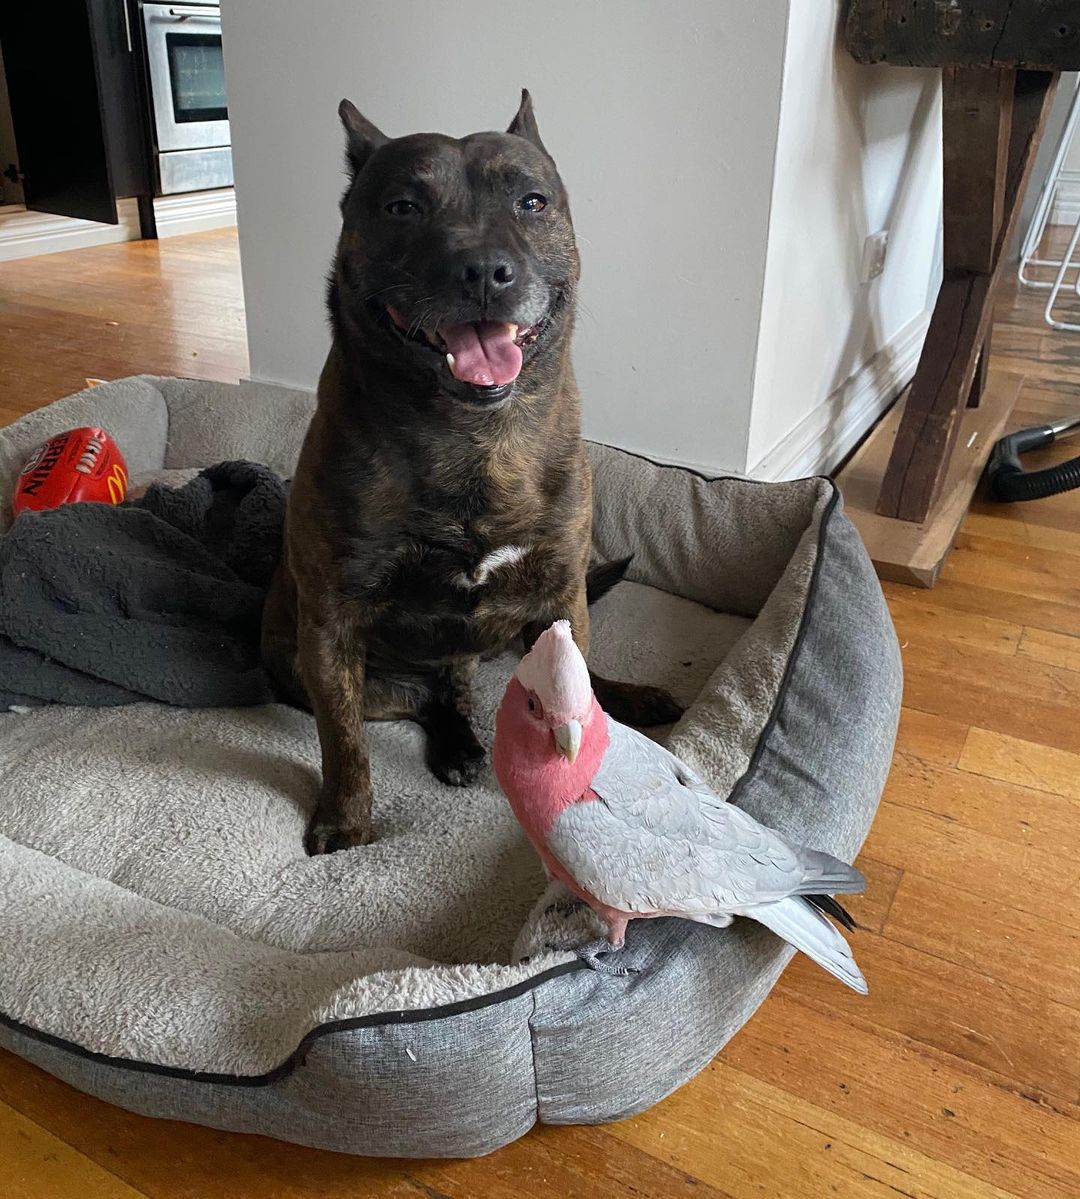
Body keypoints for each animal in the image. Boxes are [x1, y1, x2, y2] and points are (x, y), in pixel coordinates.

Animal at [264, 93, 680, 853]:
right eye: (402, 207)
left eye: (532, 201)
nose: (485, 270)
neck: (473, 439)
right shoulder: (330, 630)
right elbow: (342, 741)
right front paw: (345, 819)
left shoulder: (561, 592)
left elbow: (578, 688)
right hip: (307, 667)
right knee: (429, 696)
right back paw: (456, 742)